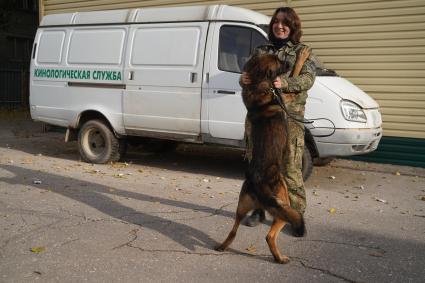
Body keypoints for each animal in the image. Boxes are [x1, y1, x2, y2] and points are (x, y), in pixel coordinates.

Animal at [215, 47, 312, 264]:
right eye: (279, 61)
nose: (287, 62)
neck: (259, 84)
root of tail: (258, 183)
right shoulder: (287, 99)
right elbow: (295, 74)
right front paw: (301, 56)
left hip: (241, 208)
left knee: (233, 231)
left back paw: (222, 246)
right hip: (283, 207)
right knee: (270, 236)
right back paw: (280, 258)